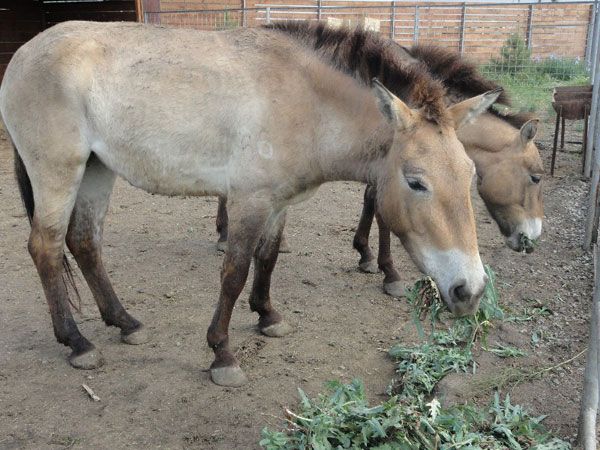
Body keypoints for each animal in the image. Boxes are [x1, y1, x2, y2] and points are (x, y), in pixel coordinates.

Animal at [1, 21, 496, 386]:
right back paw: (78, 343)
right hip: (59, 173)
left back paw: (125, 323)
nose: (469, 291)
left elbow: (268, 258)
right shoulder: (248, 201)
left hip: (97, 170)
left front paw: (268, 317)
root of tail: (24, 53)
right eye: (416, 182)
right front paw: (222, 355)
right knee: (46, 248)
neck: (305, 100)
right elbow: (235, 272)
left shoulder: (278, 203)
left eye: (470, 175)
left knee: (85, 243)